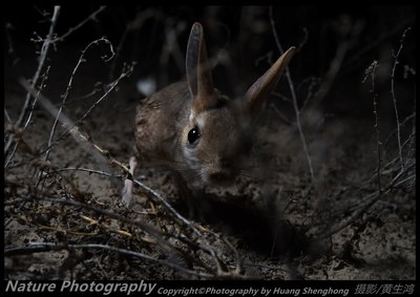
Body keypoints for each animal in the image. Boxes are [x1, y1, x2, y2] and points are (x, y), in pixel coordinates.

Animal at [122, 21, 296, 215]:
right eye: (192, 135)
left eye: (247, 143)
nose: (219, 174)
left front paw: (198, 208)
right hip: (149, 147)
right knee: (134, 159)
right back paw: (127, 199)